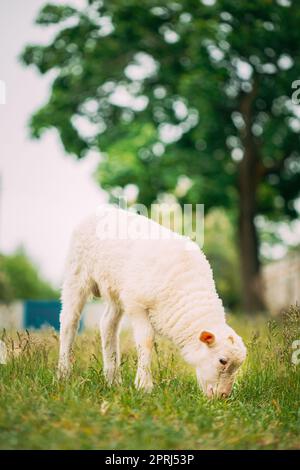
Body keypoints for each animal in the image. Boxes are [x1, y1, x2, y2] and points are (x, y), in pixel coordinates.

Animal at [58, 206, 246, 396]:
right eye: (222, 361)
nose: (223, 396)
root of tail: (99, 211)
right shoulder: (138, 305)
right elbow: (146, 341)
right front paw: (144, 385)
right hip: (77, 273)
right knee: (69, 321)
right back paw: (63, 374)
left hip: (115, 288)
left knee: (107, 324)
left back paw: (113, 379)